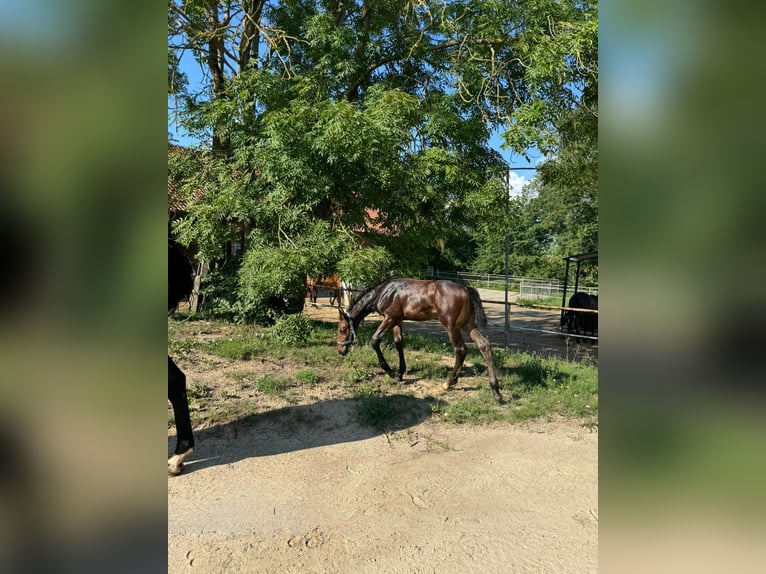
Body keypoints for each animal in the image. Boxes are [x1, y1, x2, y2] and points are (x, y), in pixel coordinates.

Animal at [334, 280, 504, 404]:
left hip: (452, 326)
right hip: (468, 325)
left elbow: (375, 340)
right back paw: (496, 392)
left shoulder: (389, 318)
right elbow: (398, 342)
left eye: (342, 329)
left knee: (461, 350)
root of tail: (466, 289)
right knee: (484, 346)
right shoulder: (397, 320)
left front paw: (390, 372)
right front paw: (400, 373)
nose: (340, 350)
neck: (386, 292)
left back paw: (448, 383)